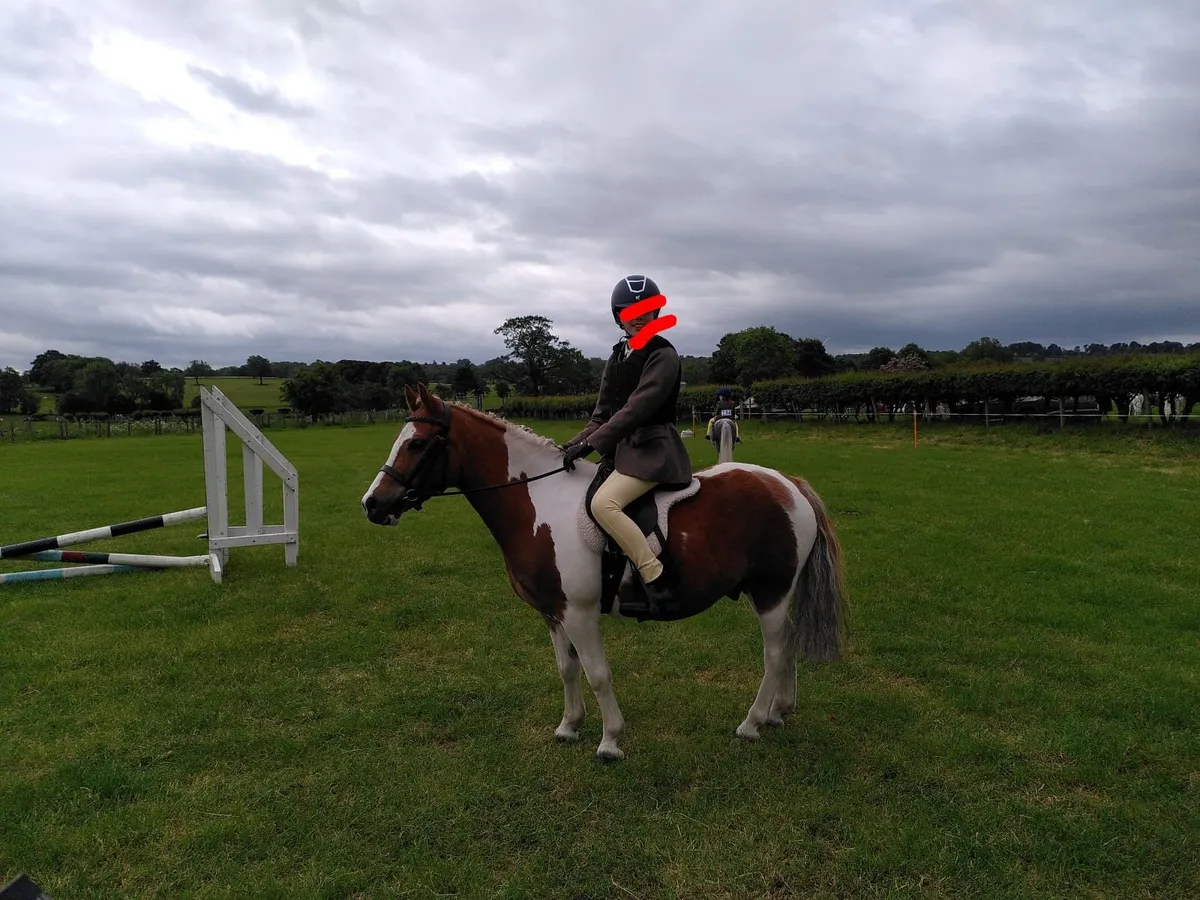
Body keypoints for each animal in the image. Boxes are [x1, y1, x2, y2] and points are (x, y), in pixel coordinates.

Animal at [361, 383, 847, 761]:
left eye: (417, 444)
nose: (373, 504)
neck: (538, 502)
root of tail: (787, 484)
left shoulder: (578, 613)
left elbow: (597, 673)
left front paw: (610, 741)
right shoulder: (552, 612)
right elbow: (567, 668)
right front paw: (569, 727)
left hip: (770, 592)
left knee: (775, 652)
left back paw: (752, 722)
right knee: (788, 646)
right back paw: (779, 711)